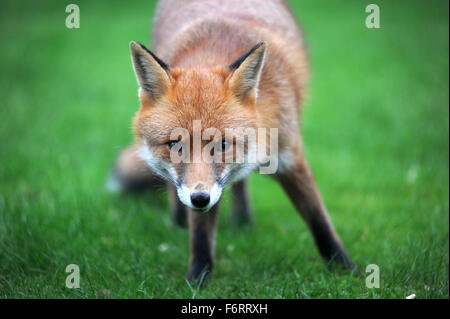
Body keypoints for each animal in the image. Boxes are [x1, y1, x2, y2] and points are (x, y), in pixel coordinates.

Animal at [111, 0, 356, 284]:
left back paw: (242, 221)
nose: (199, 199)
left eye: (223, 145)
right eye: (174, 145)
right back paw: (180, 221)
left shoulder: (290, 157)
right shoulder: (201, 190)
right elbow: (201, 234)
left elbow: (318, 219)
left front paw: (346, 268)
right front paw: (197, 279)